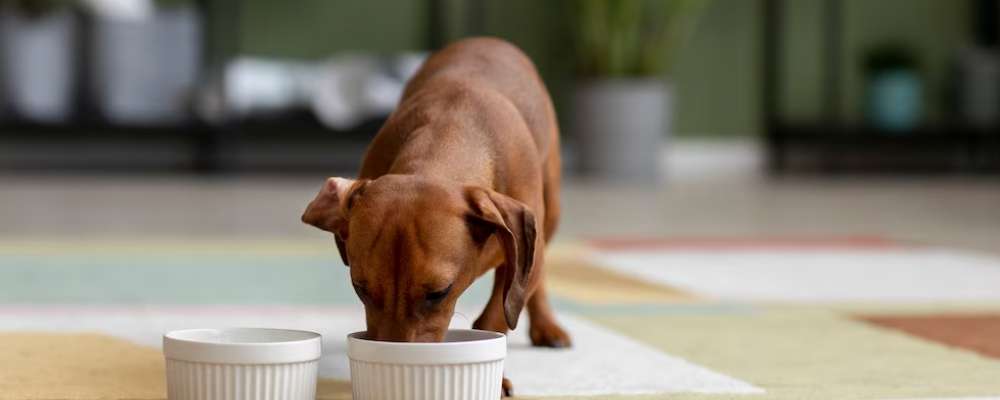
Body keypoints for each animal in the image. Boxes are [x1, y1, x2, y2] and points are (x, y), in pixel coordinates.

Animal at [300, 36, 568, 394]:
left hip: (549, 213)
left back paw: (546, 325)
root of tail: (488, 40)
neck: (451, 131)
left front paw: (497, 380)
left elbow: (497, 316)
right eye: (360, 287)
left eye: (439, 293)